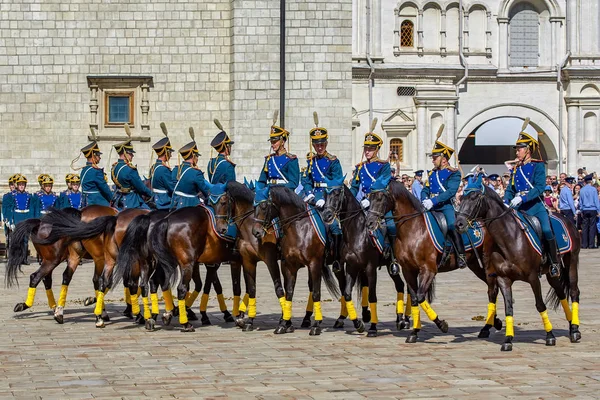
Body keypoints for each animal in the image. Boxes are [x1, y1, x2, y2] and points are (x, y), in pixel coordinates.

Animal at [251, 186, 340, 336]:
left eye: (264, 206)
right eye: (254, 206)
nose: (256, 232)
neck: (299, 229)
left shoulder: (314, 264)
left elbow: (316, 293)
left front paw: (316, 326)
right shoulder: (289, 266)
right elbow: (289, 293)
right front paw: (283, 324)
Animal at [324, 180, 412, 336]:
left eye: (337, 194)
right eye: (325, 194)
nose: (326, 215)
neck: (357, 233)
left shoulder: (370, 268)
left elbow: (372, 296)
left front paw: (373, 327)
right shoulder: (351, 267)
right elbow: (347, 293)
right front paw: (358, 323)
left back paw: (406, 319)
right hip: (390, 267)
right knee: (400, 285)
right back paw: (399, 318)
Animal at [364, 181, 504, 344]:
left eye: (380, 198)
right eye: (370, 196)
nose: (369, 222)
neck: (413, 229)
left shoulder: (428, 270)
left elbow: (420, 297)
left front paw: (441, 324)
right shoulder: (408, 270)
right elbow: (414, 298)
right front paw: (414, 332)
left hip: (487, 263)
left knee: (492, 289)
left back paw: (488, 326)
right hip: (475, 265)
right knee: (492, 288)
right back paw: (493, 323)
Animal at [454, 177, 580, 350]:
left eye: (474, 197)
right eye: (461, 198)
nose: (458, 224)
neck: (509, 238)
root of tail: (567, 219)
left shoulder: (533, 277)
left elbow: (540, 305)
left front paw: (550, 336)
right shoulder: (503, 278)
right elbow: (509, 308)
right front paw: (508, 340)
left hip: (571, 262)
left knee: (574, 292)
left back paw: (575, 330)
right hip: (551, 272)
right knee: (561, 292)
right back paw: (571, 324)